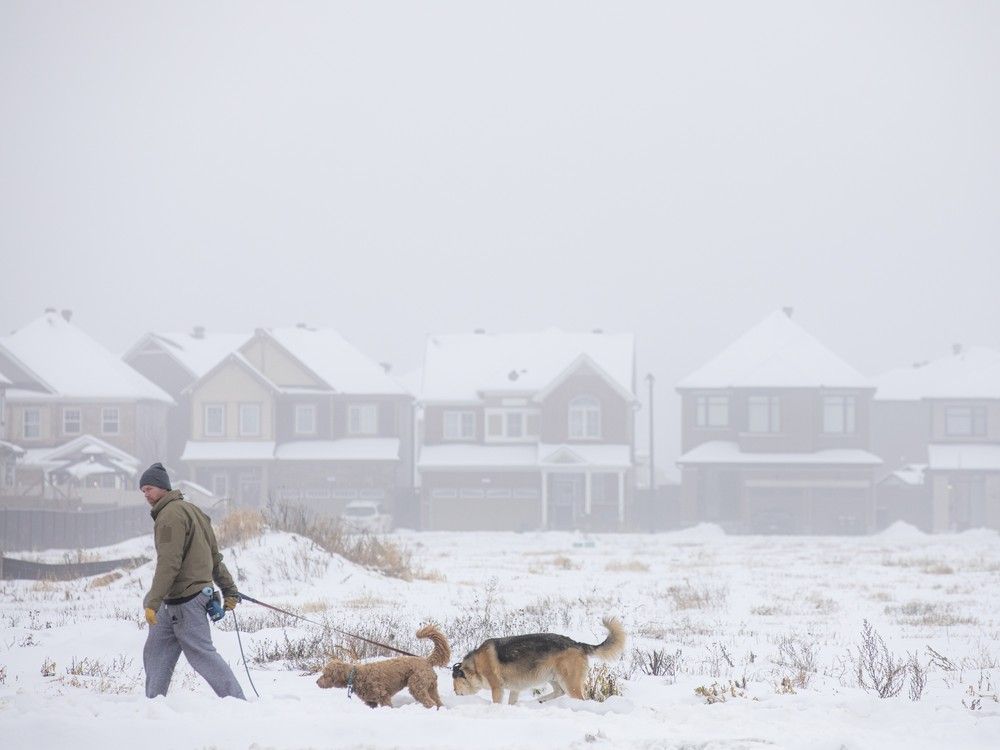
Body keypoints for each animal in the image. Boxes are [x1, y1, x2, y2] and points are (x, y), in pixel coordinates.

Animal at [316, 628, 450, 712]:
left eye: (325, 674)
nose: (317, 682)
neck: (355, 675)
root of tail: (426, 661)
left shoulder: (383, 696)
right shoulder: (371, 702)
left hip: (417, 686)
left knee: (430, 703)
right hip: (431, 687)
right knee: (438, 702)